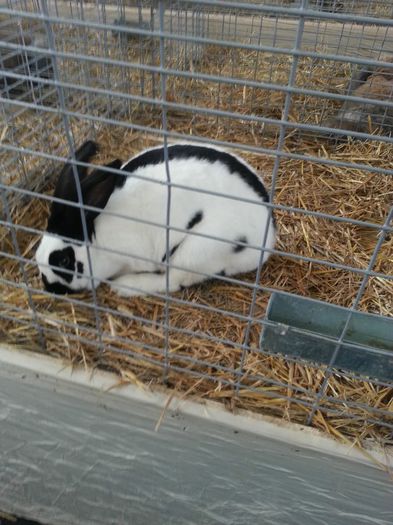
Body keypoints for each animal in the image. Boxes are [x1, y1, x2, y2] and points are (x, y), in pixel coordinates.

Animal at [36, 140, 276, 294]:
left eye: (64, 261)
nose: (49, 287)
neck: (97, 241)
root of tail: (268, 239)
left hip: (196, 251)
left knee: (173, 281)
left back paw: (125, 286)